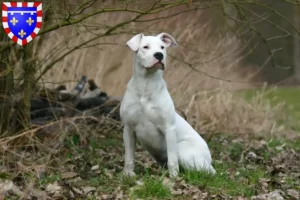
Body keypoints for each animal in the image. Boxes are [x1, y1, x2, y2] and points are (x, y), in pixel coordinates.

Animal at [119, 32, 216, 177]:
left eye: (162, 47)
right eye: (145, 47)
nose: (159, 55)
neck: (146, 85)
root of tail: (209, 162)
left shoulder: (168, 128)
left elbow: (172, 159)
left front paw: (173, 177)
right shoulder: (129, 129)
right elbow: (129, 156)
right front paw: (128, 174)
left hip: (184, 150)